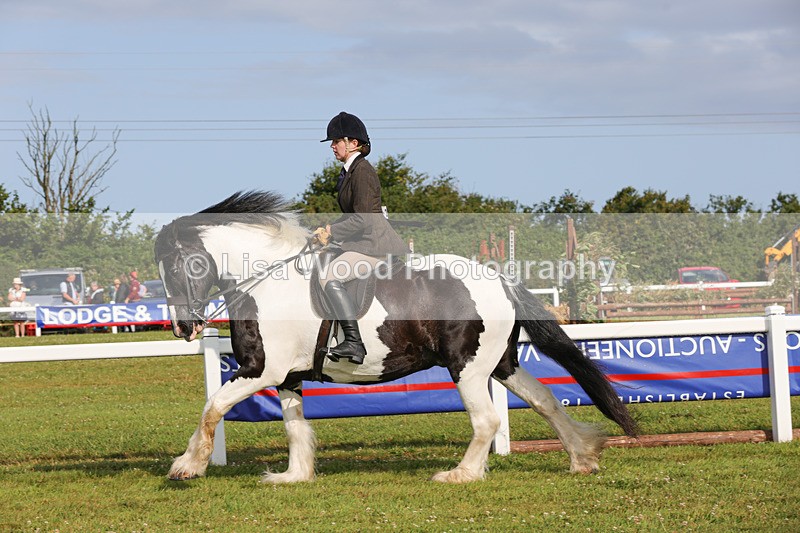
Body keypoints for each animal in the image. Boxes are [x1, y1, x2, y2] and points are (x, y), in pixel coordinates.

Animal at [155, 191, 637, 484]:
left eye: (178, 267)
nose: (183, 328)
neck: (267, 280)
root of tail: (501, 279)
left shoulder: (260, 370)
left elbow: (212, 407)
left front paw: (187, 465)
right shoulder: (286, 375)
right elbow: (294, 427)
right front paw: (293, 476)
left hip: (468, 367)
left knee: (487, 420)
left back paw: (460, 474)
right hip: (500, 363)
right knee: (545, 401)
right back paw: (583, 456)